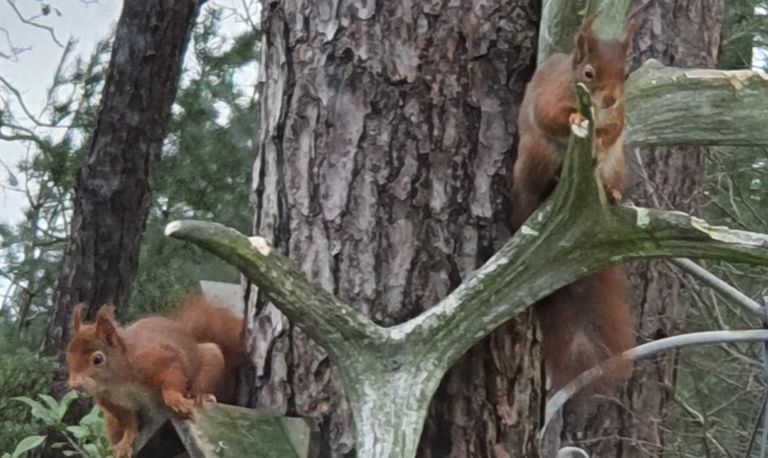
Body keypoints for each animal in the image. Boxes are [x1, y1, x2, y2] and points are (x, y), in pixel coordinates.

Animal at [68, 296, 244, 456]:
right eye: (67, 356)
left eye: (97, 359)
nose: (74, 384)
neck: (117, 382)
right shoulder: (110, 401)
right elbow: (127, 423)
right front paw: (126, 442)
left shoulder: (158, 359)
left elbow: (172, 377)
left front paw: (175, 400)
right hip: (111, 422)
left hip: (210, 357)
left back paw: (201, 396)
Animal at [510, 14, 636, 394]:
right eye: (589, 73)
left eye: (625, 73)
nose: (609, 100)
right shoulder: (550, 95)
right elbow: (552, 115)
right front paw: (575, 120)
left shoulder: (619, 116)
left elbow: (617, 127)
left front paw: (603, 134)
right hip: (536, 156)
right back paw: (549, 186)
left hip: (616, 165)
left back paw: (611, 193)